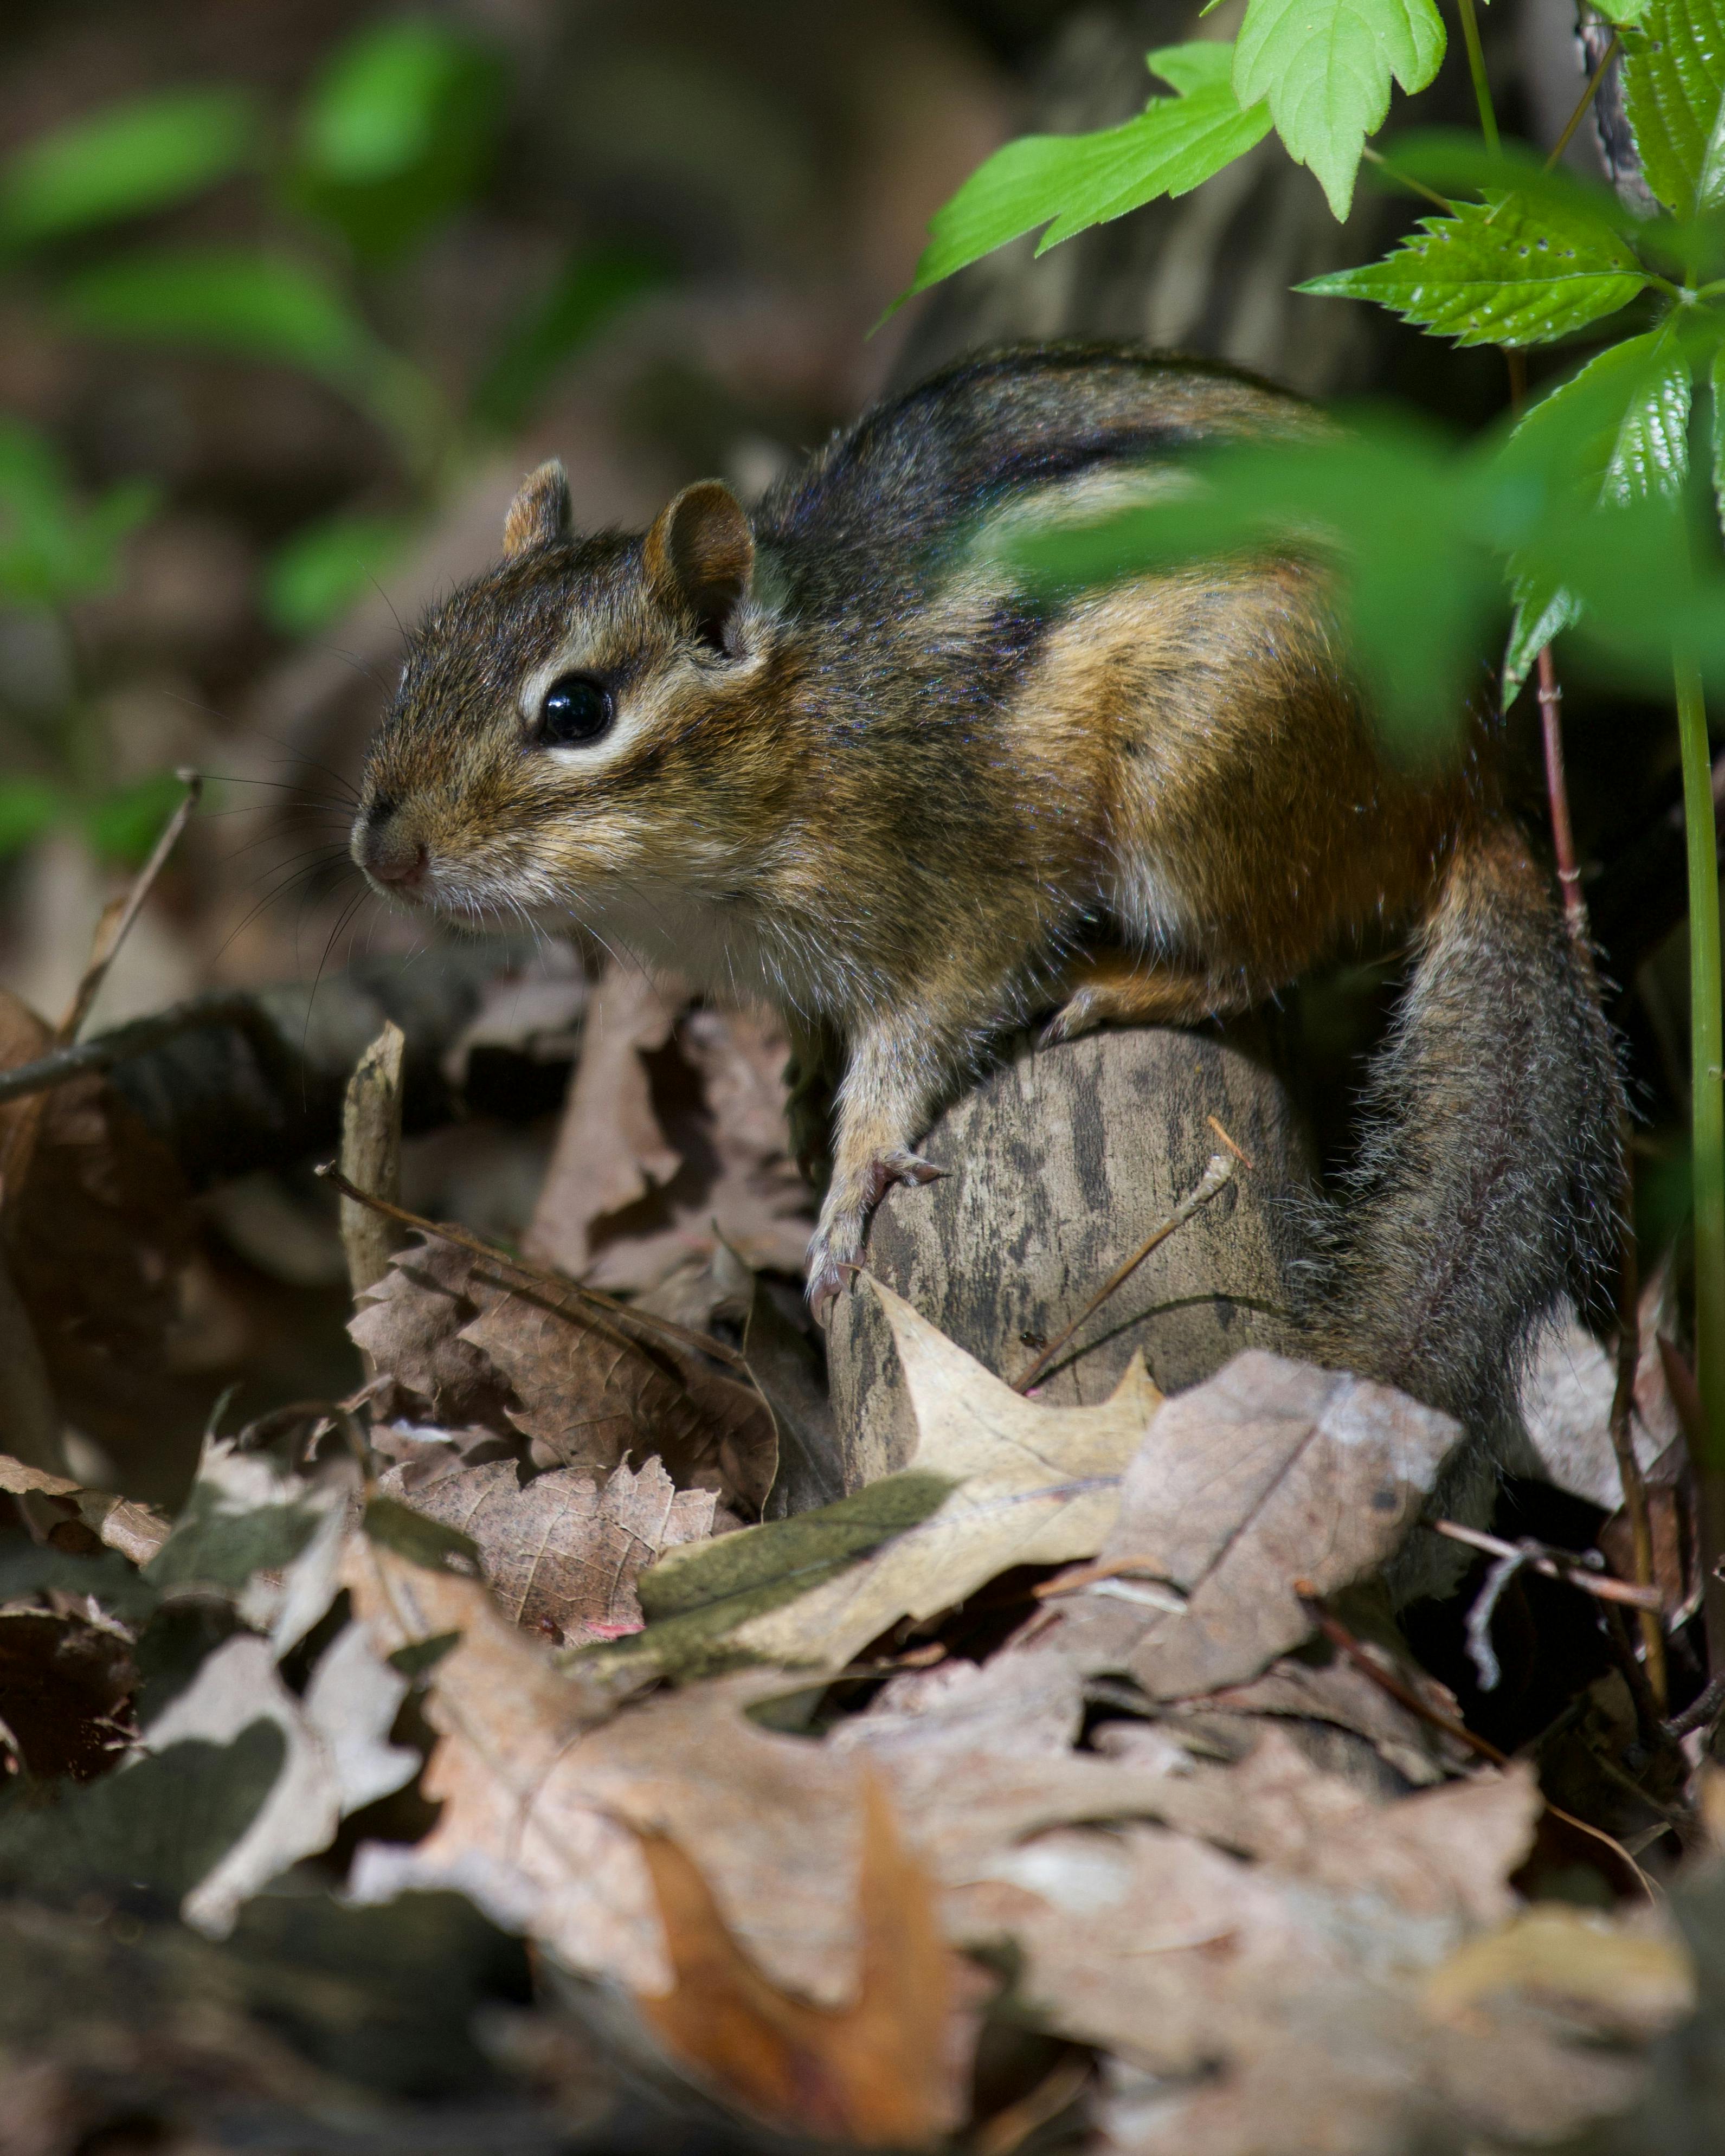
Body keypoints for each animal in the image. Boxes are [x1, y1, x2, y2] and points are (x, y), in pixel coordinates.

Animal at [352, 340, 1622, 1454]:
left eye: (577, 711)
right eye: (419, 660)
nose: (381, 851)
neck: (804, 725)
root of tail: (1470, 786)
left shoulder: (967, 894)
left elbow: (916, 1039)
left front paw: (852, 1174)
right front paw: (806, 1083)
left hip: (1200, 776)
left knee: (1261, 954)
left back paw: (1123, 984)